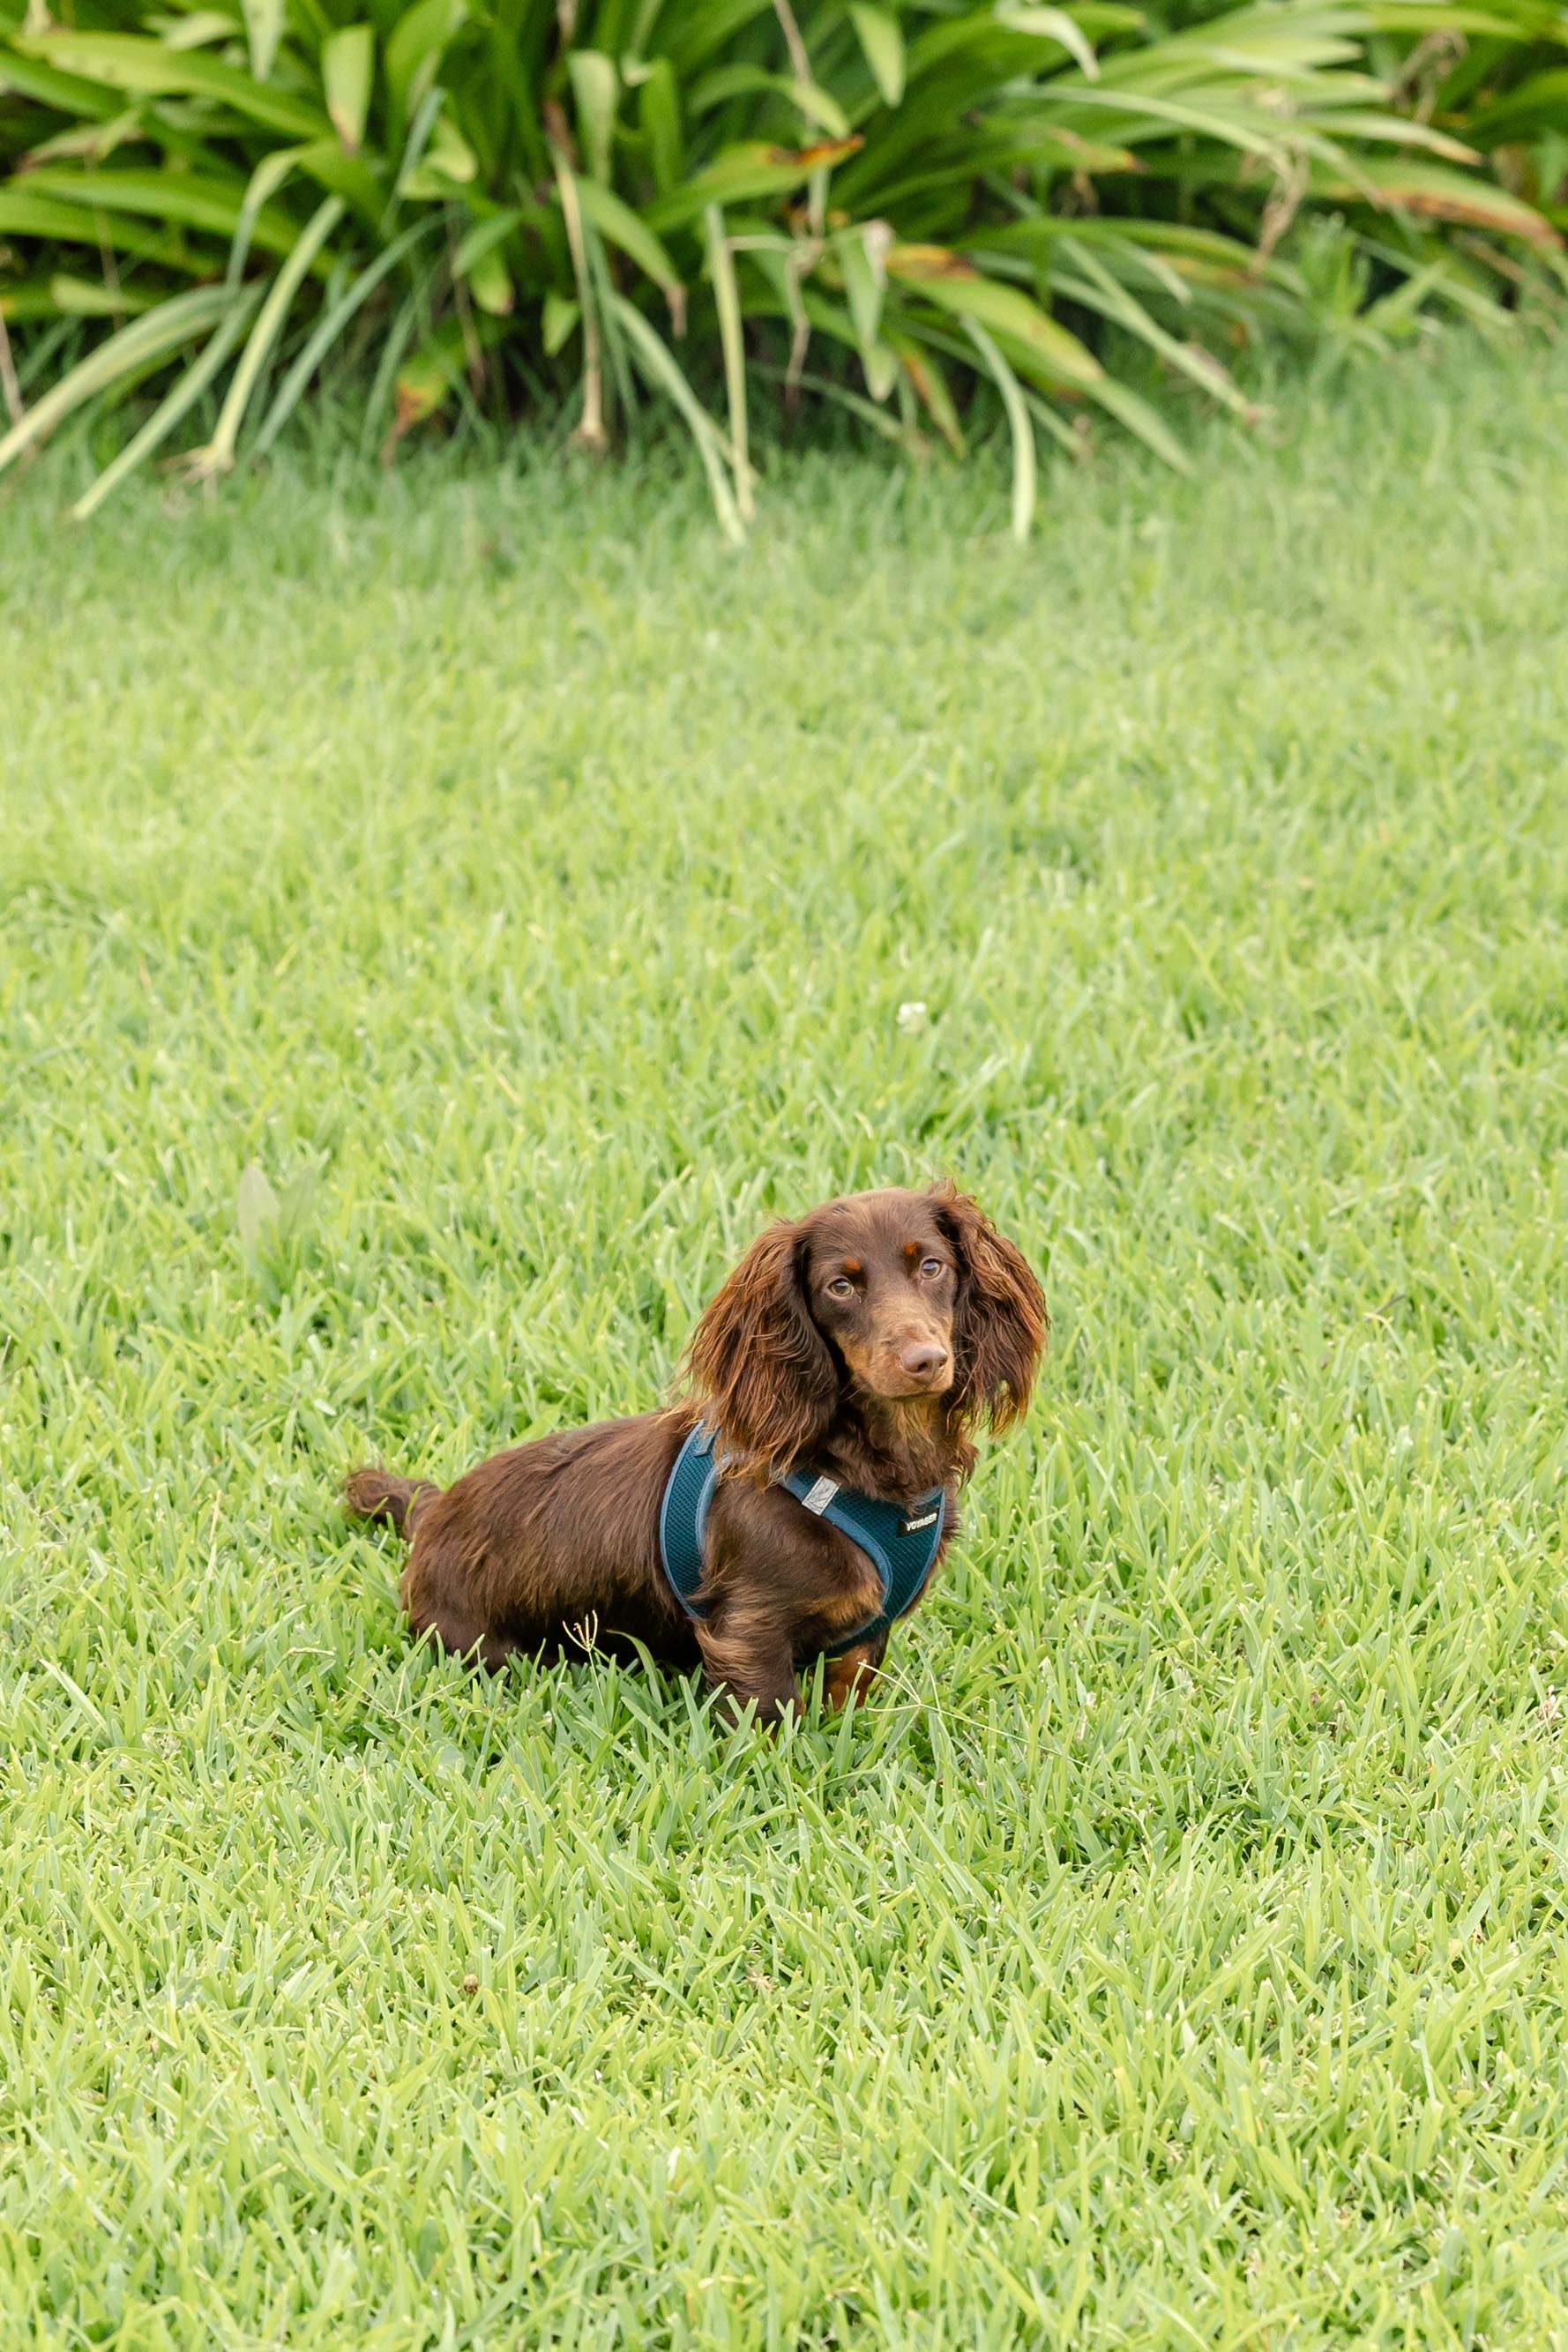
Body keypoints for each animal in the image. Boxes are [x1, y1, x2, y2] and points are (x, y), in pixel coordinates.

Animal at [350, 1185, 1048, 1721]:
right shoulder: (749, 1630)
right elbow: (772, 1719)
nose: (924, 1360)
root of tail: (436, 1512)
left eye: (931, 1267)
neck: (859, 1474)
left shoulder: (863, 1638)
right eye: (840, 1286)